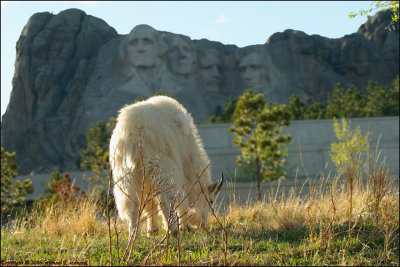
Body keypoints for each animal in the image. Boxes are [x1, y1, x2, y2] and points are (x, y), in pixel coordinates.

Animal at [109, 96, 222, 237]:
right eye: (211, 201)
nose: (202, 224)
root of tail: (132, 133)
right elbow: (180, 200)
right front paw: (186, 226)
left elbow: (150, 203)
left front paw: (152, 230)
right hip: (160, 167)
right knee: (167, 199)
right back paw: (174, 230)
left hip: (125, 174)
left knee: (132, 202)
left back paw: (134, 233)